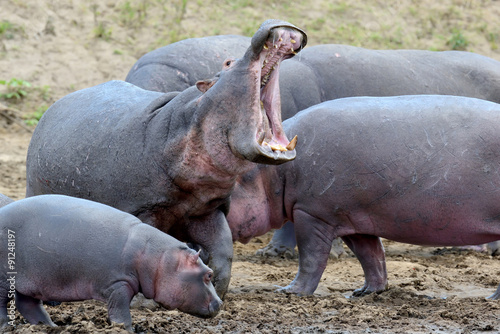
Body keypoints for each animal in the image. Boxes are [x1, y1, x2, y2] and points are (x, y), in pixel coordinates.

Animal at [0, 194, 223, 330]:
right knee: (4, 303)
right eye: (208, 274)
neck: (159, 258)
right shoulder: (118, 284)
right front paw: (126, 329)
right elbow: (120, 312)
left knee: (27, 303)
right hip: (4, 278)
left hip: (29, 281)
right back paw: (7, 326)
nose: (221, 303)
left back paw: (49, 326)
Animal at [25, 19, 306, 298]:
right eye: (227, 62)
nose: (269, 21)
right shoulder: (143, 208)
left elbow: (223, 251)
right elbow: (145, 247)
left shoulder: (208, 210)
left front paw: (216, 289)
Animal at [228, 94, 500, 300]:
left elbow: (311, 258)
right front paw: (365, 292)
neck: (273, 170)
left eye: (227, 183)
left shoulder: (312, 213)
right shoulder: (354, 220)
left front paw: (289, 291)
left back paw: (491, 299)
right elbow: (371, 257)